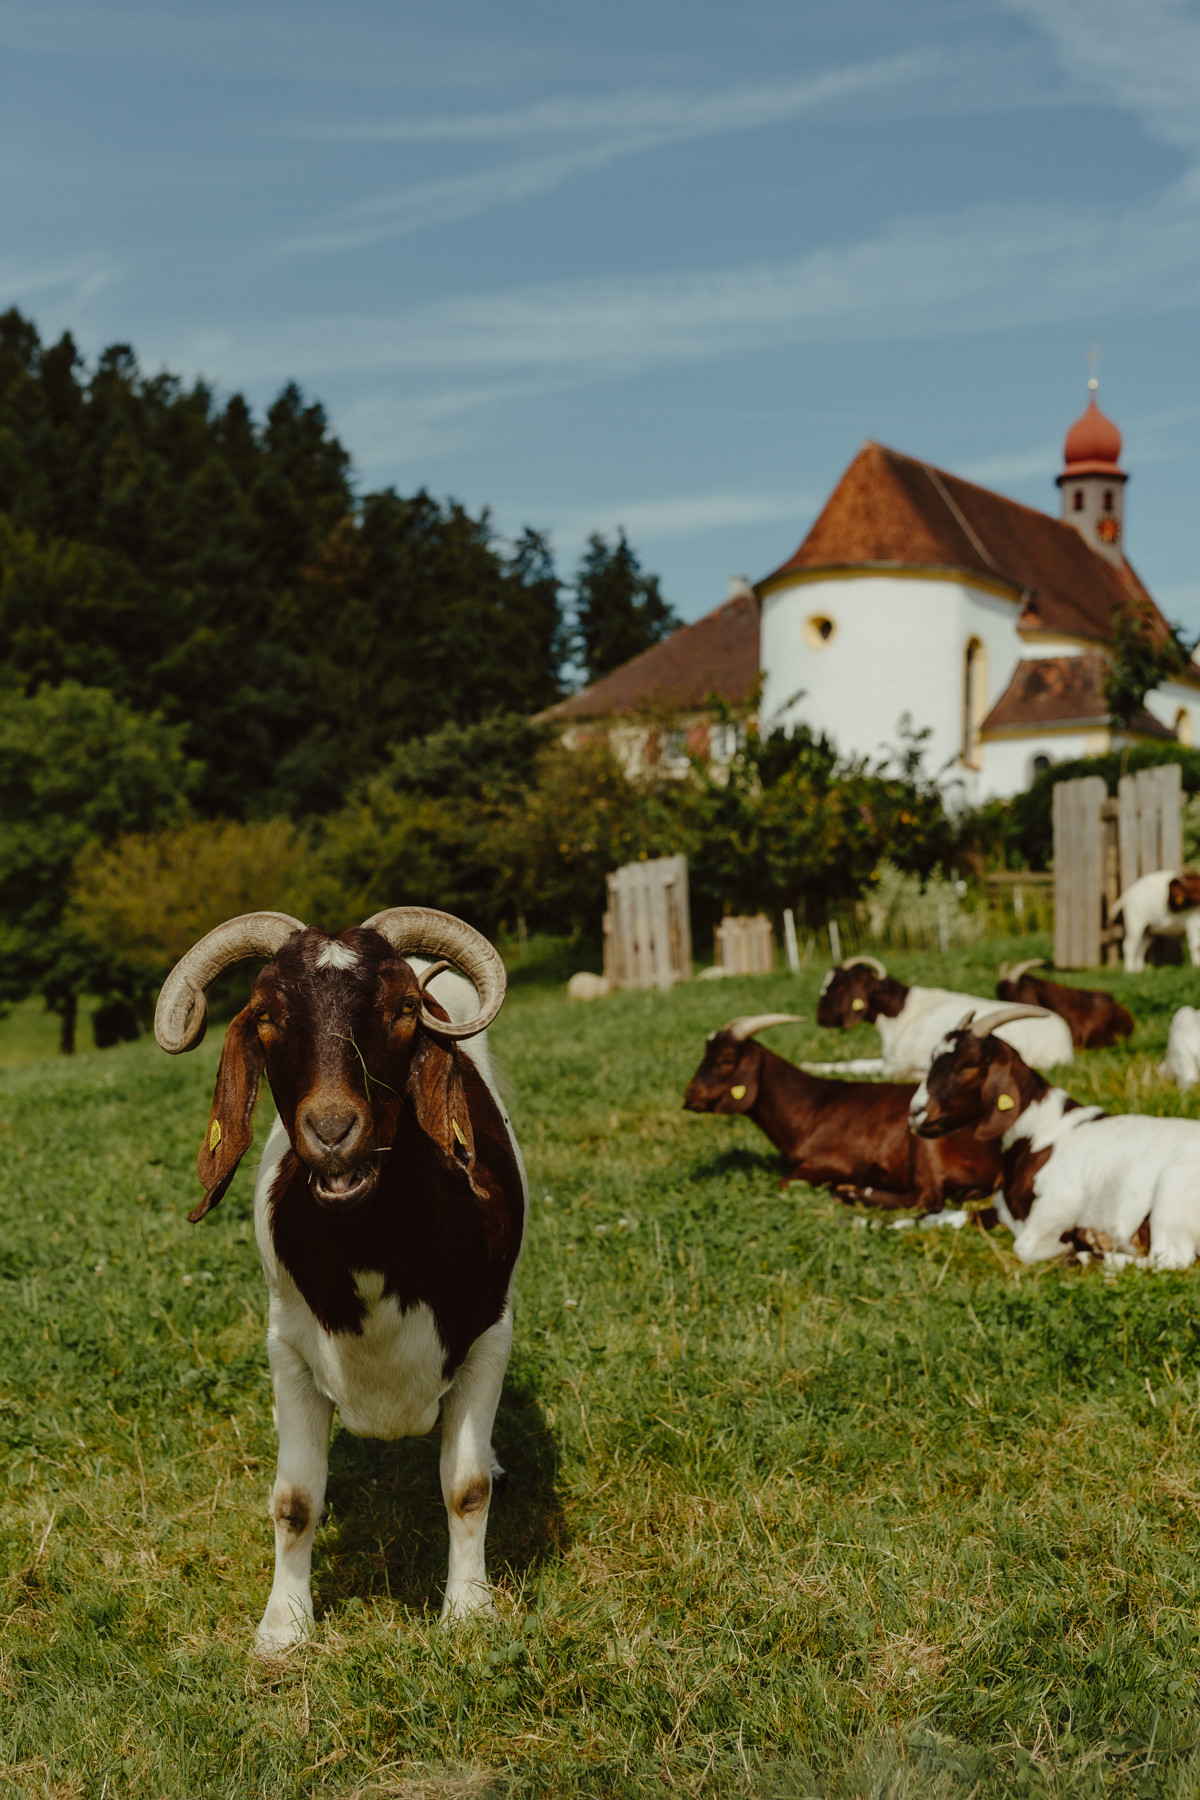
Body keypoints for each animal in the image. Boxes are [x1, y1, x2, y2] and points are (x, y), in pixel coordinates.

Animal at [153, 907, 525, 1648]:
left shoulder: (488, 1334)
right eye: (267, 1014)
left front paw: (469, 1610)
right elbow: (295, 1500)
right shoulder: (290, 1352)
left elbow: (466, 1486)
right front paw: (282, 1628)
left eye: (405, 1007)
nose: (331, 1131)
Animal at [683, 1015, 1007, 1209]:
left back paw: (853, 1192)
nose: (689, 1096)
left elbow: (785, 1182)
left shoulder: (832, 1163)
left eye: (727, 1060)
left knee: (926, 1197)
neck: (811, 1108)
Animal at [816, 957, 1072, 1080]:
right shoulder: (889, 1060)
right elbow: (853, 1063)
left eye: (837, 986)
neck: (901, 1014)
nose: (819, 1018)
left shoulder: (895, 1067)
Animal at [910, 1000, 1200, 1267]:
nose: (916, 1113)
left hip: (1171, 1196)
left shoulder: (1056, 1205)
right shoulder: (1003, 1211)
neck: (1044, 1133)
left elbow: (1024, 1247)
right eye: (933, 1059)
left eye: (969, 1063)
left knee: (1169, 1261)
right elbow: (938, 1216)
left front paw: (1077, 1240)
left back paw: (1086, 1253)